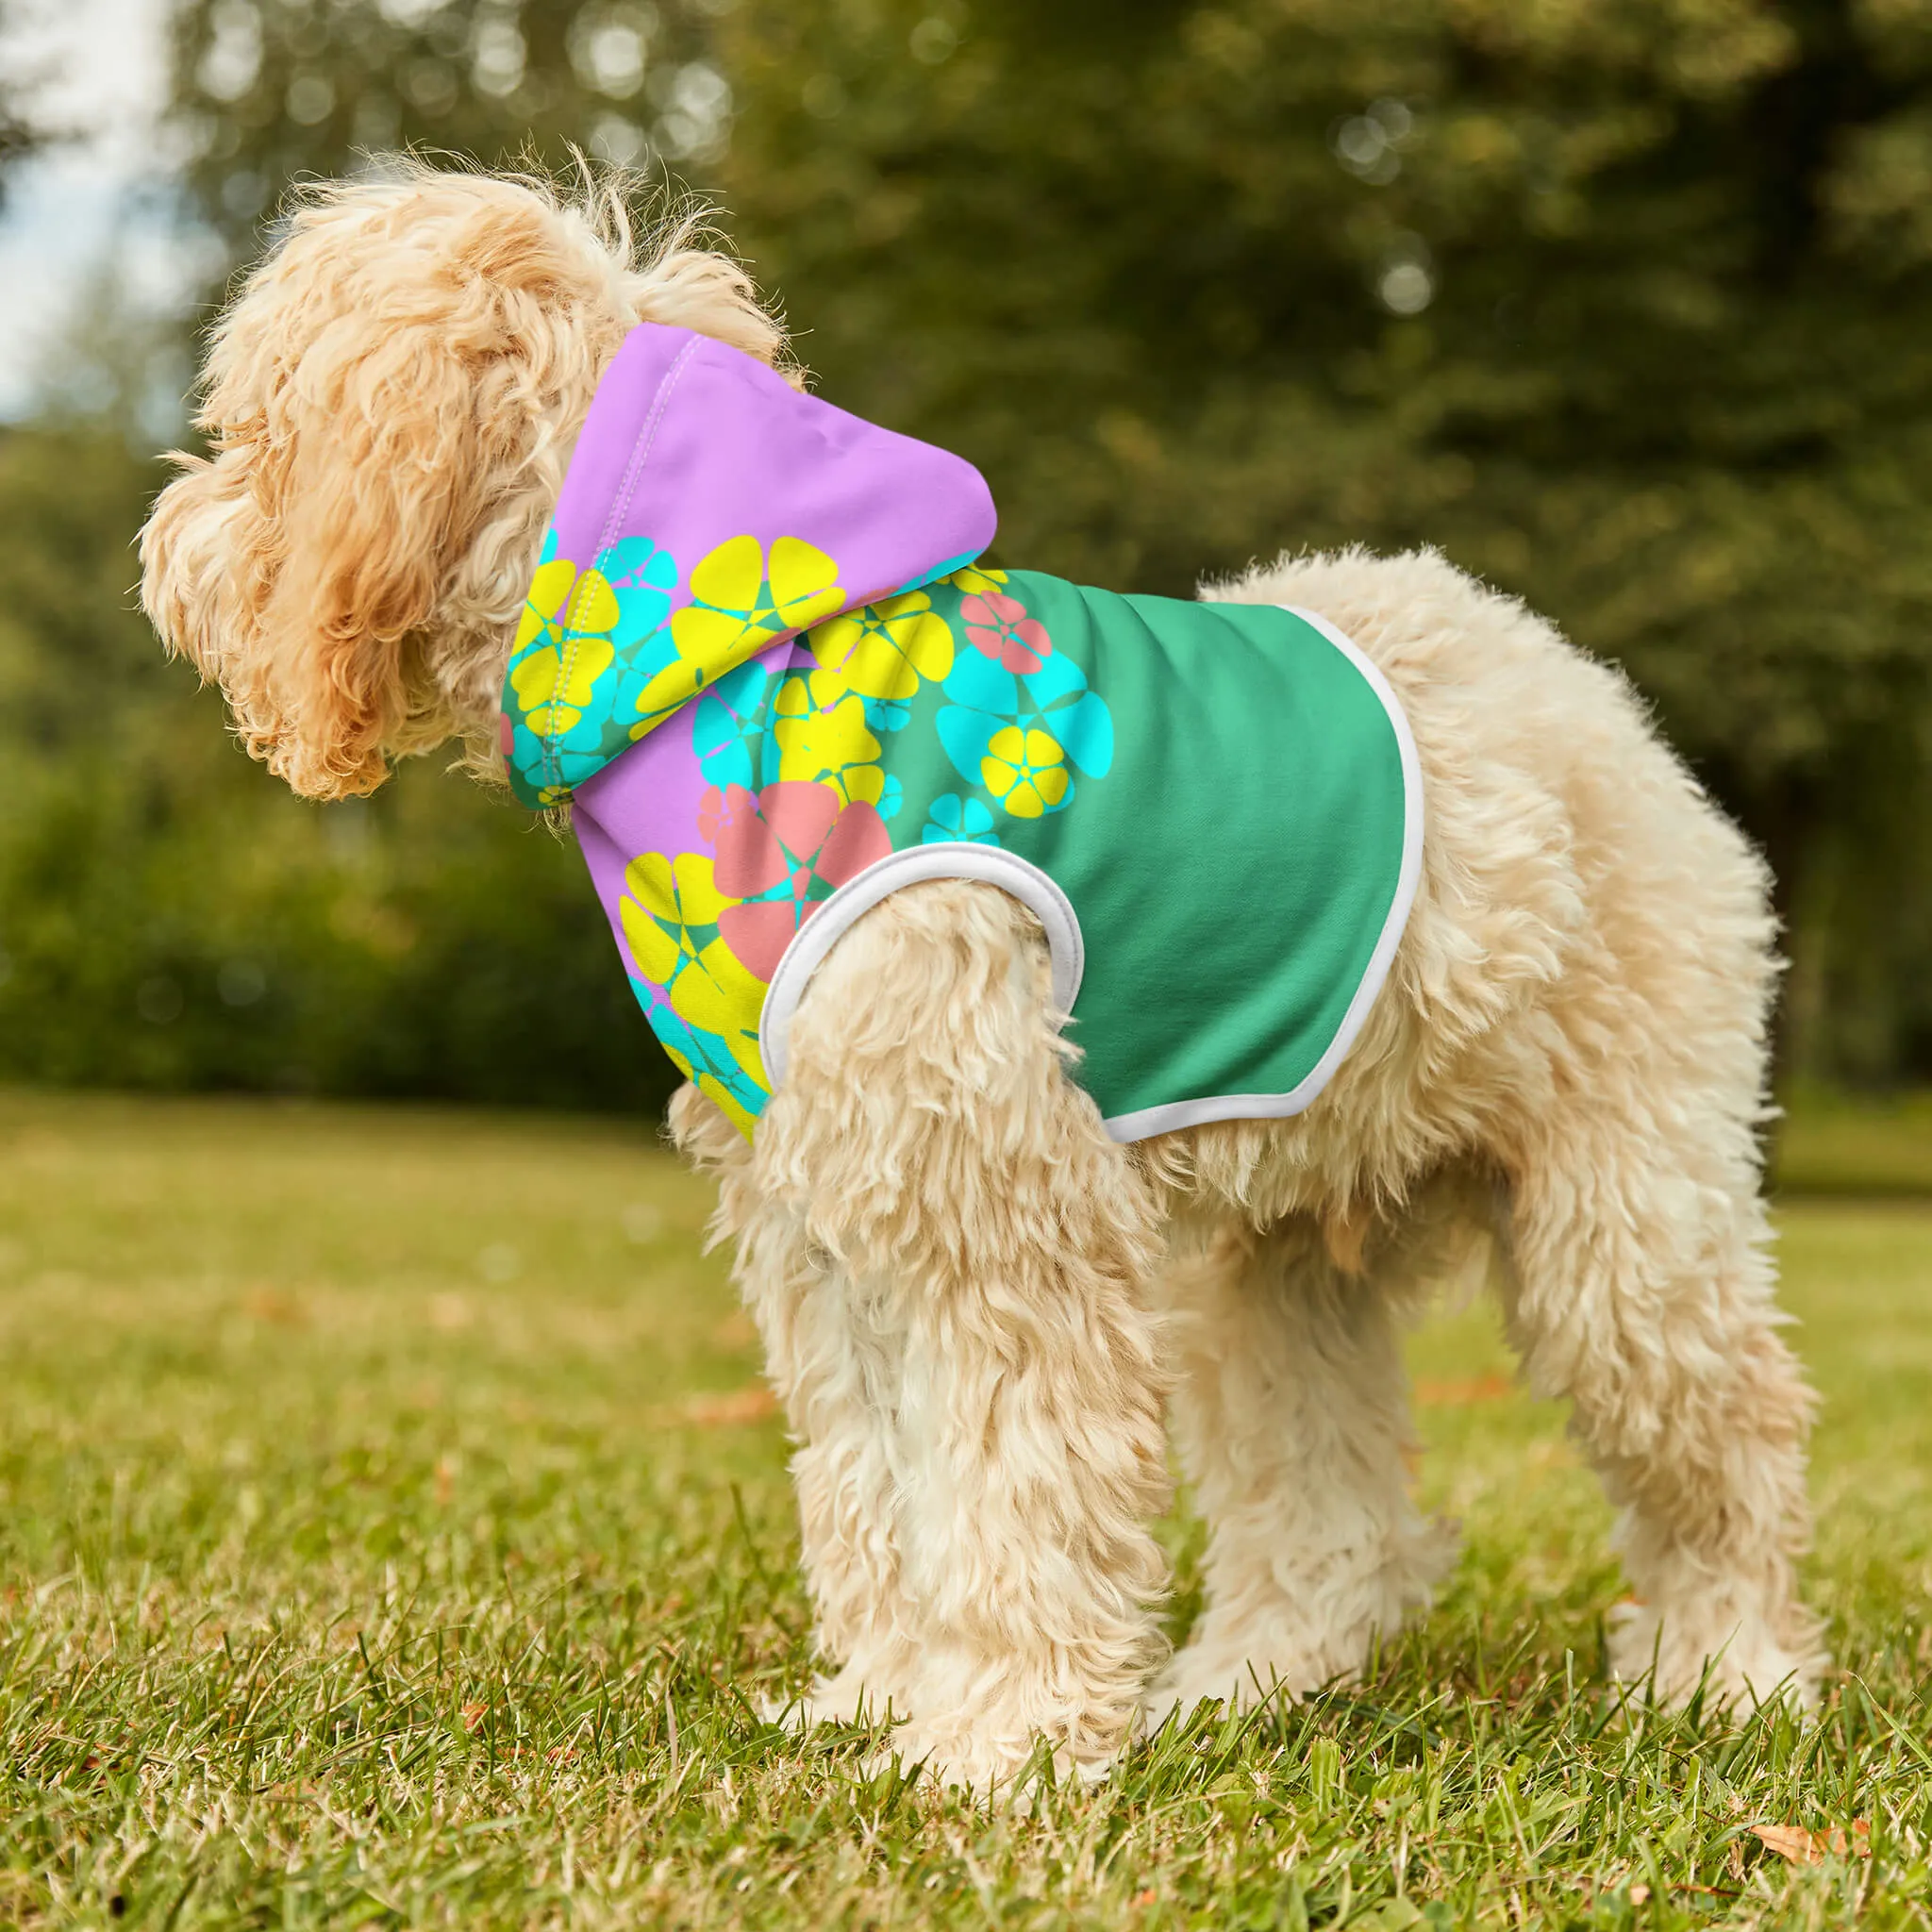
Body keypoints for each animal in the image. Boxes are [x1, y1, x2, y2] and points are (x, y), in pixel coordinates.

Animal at [142, 166, 1816, 1792]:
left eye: (254, 431)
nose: (164, 546)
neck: (733, 657)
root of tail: (1586, 693)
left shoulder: (995, 1208)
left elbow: (1015, 1489)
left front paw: (999, 1746)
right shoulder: (826, 1214)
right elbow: (879, 1486)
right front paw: (885, 1703)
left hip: (1624, 1222)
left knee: (1732, 1437)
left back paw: (1729, 1676)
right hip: (1274, 1269)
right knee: (1334, 1517)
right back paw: (1245, 1687)